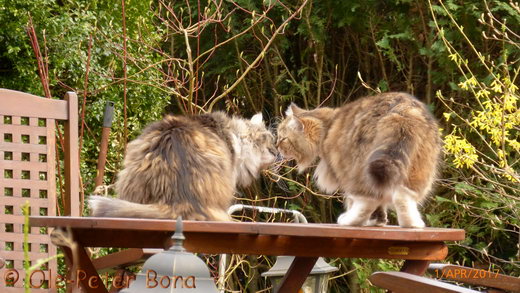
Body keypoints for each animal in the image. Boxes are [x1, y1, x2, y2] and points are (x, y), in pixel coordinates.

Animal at [278, 92, 440, 227]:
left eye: (283, 138)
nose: (277, 146)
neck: (328, 127)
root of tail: (402, 111)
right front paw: (378, 220)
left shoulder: (341, 166)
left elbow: (352, 199)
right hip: (418, 167)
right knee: (403, 196)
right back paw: (411, 224)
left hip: (361, 166)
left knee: (368, 200)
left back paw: (350, 221)